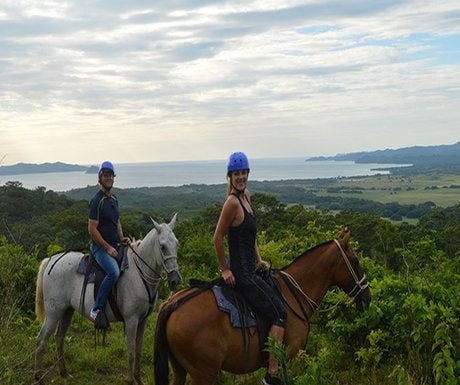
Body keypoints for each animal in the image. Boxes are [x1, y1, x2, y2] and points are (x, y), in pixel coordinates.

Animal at [34, 214, 181, 382]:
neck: (140, 272)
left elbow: (138, 350)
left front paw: (138, 379)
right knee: (41, 340)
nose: (175, 280)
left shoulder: (143, 320)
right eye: (162, 246)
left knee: (59, 337)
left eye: (177, 244)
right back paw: (38, 377)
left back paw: (64, 372)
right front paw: (131, 380)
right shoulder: (131, 320)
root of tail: (52, 260)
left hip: (67, 311)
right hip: (54, 313)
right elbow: (131, 352)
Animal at [154, 228, 370, 384]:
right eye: (355, 261)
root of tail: (171, 304)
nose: (367, 297)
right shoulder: (289, 357)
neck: (293, 294)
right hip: (203, 373)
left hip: (180, 370)